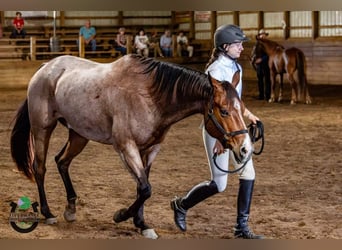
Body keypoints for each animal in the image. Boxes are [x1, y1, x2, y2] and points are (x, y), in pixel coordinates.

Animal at [10, 54, 252, 238]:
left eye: (241, 108)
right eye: (224, 111)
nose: (244, 148)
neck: (150, 96)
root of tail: (45, 68)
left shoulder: (150, 150)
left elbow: (142, 187)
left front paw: (141, 224)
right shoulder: (125, 147)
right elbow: (145, 188)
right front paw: (121, 215)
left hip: (79, 134)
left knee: (62, 161)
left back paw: (70, 209)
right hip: (42, 129)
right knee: (40, 167)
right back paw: (48, 213)